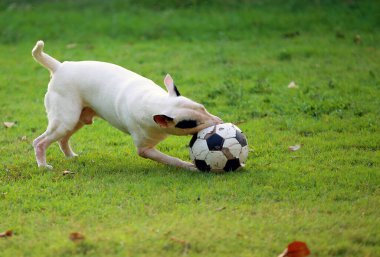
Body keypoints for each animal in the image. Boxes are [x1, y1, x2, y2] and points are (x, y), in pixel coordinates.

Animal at [33, 40, 223, 170]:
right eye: (191, 124)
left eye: (203, 108)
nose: (221, 122)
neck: (152, 103)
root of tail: (59, 67)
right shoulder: (144, 150)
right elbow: (169, 159)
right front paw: (190, 166)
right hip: (65, 119)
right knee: (40, 142)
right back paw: (43, 166)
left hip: (77, 119)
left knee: (63, 139)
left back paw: (71, 156)